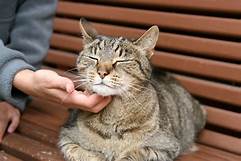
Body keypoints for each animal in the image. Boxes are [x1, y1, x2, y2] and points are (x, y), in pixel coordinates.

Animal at [57, 18, 206, 161]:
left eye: (121, 61)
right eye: (93, 58)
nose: (102, 72)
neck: (114, 115)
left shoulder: (165, 147)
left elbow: (136, 154)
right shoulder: (67, 138)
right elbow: (83, 154)